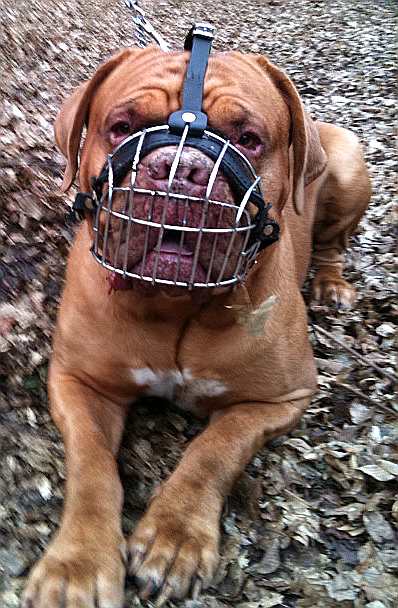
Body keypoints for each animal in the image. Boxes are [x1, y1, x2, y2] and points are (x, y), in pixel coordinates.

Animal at [21, 44, 370, 608]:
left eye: (248, 138)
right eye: (122, 126)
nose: (180, 168)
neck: (174, 304)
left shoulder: (280, 398)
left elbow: (215, 449)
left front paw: (175, 536)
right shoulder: (80, 382)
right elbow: (92, 466)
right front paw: (78, 562)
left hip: (349, 161)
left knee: (334, 244)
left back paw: (332, 285)